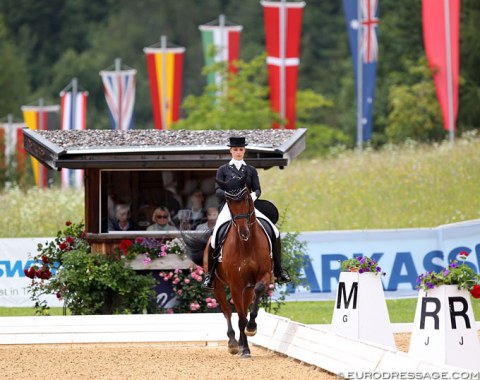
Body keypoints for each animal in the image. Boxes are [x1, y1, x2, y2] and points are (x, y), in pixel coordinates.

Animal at [210, 176, 274, 360]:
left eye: (246, 198)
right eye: (229, 201)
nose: (244, 232)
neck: (246, 245)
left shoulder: (264, 276)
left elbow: (257, 294)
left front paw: (251, 328)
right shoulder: (235, 285)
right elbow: (239, 318)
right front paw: (244, 349)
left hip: (248, 289)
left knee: (243, 309)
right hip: (217, 285)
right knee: (227, 311)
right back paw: (233, 343)